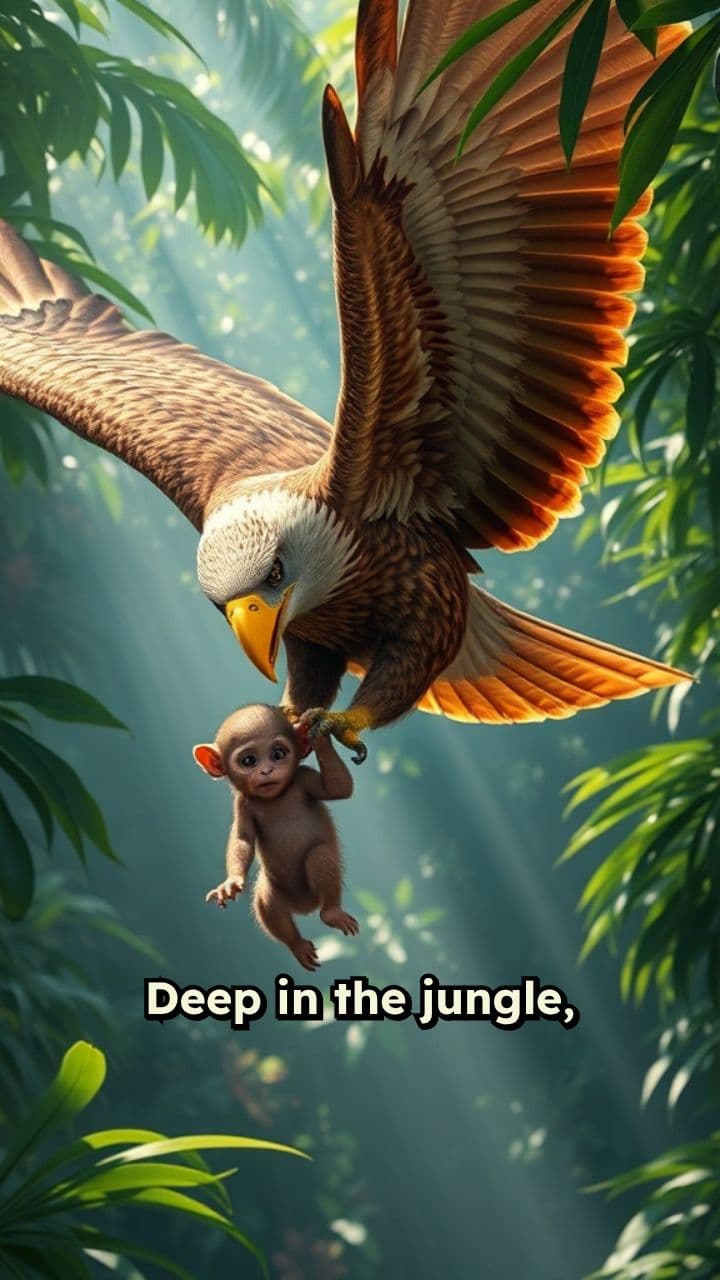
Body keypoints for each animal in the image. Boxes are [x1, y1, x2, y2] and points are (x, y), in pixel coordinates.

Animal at [193, 704, 359, 972]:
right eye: (248, 760)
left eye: (278, 754)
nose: (266, 770)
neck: (275, 797)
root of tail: (305, 908)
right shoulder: (243, 805)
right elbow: (242, 839)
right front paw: (231, 883)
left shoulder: (304, 777)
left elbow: (339, 788)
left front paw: (320, 733)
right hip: (275, 892)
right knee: (267, 903)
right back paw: (298, 946)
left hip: (317, 886)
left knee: (319, 856)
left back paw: (332, 913)